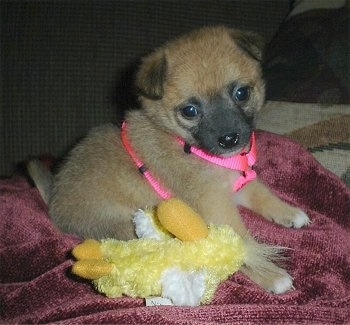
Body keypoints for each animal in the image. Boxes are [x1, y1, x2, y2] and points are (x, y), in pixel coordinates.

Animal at [29, 26, 308, 294]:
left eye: (242, 93)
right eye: (190, 111)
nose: (230, 139)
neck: (187, 145)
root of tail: (54, 199)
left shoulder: (235, 184)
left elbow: (263, 194)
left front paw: (289, 212)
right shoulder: (214, 204)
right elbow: (242, 244)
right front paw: (271, 274)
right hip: (124, 224)